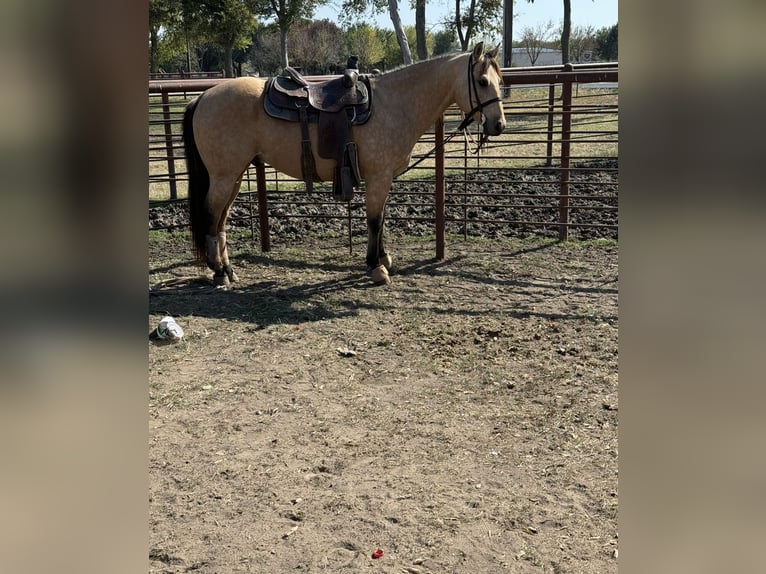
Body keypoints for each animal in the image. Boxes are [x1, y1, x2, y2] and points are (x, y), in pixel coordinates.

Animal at [183, 43, 508, 288]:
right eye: (482, 82)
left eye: (500, 82)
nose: (499, 125)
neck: (395, 103)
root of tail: (202, 97)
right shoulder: (378, 177)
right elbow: (375, 220)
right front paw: (375, 267)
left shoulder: (383, 178)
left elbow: (382, 218)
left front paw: (383, 258)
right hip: (224, 176)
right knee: (211, 216)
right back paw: (219, 272)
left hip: (234, 176)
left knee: (221, 221)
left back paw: (228, 270)